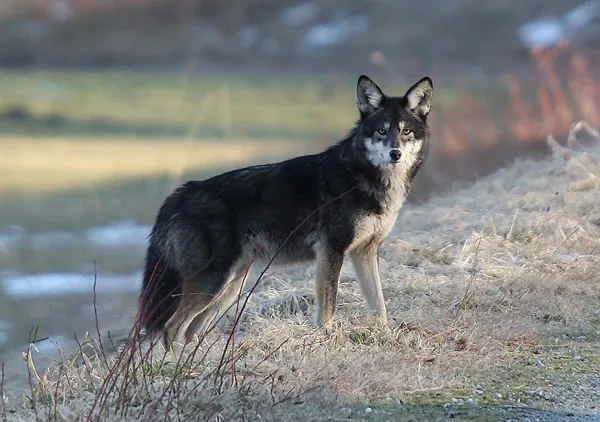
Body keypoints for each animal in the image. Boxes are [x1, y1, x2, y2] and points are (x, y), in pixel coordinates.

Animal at [139, 75, 434, 346]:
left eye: (406, 131)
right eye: (381, 132)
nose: (395, 154)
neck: (365, 176)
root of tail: (179, 194)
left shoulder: (365, 252)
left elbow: (379, 304)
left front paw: (385, 336)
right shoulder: (331, 251)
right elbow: (328, 308)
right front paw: (326, 340)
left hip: (229, 288)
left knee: (191, 331)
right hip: (213, 284)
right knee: (171, 328)